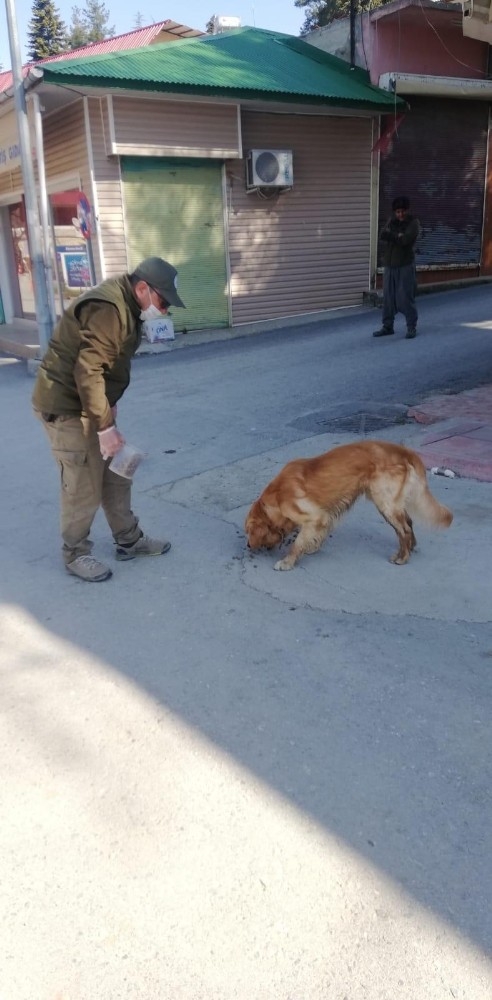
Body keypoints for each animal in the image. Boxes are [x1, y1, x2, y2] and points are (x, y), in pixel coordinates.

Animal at [244, 440, 452, 572]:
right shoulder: (325, 515)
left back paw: (402, 557)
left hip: (385, 503)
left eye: (248, 532)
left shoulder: (312, 516)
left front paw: (287, 562)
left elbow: (297, 543)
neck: (275, 497)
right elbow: (317, 534)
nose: (247, 545)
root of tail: (404, 451)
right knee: (408, 521)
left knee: (404, 529)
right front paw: (312, 547)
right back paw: (411, 547)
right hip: (391, 503)